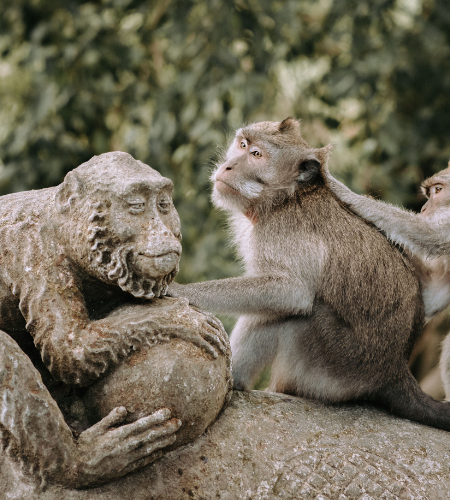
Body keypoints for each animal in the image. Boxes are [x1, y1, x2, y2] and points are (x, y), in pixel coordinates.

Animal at [326, 167, 450, 398]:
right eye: (428, 193)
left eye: (438, 190)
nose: (424, 208)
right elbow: (433, 294)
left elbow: (430, 235)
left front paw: (346, 193)